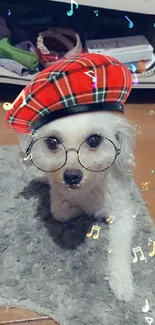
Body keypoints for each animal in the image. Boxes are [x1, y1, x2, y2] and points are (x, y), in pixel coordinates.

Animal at [19, 109, 136, 302]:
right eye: (52, 142)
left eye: (94, 140)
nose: (72, 176)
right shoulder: (58, 202)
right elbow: (61, 211)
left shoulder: (123, 213)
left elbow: (120, 248)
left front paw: (122, 282)